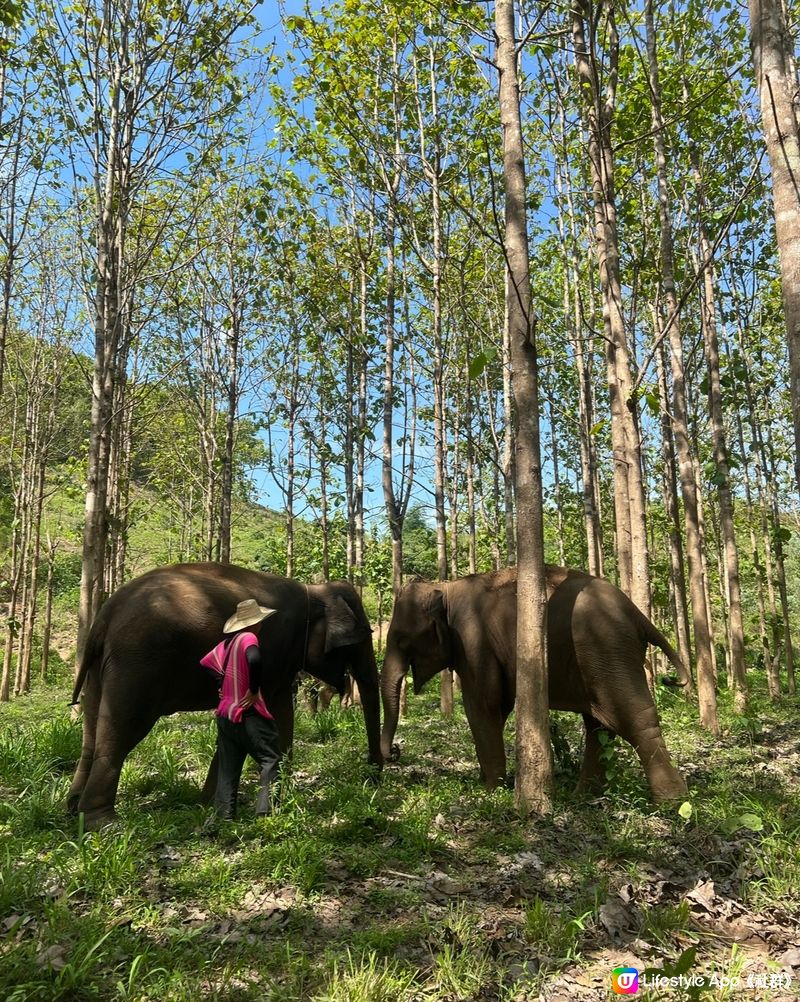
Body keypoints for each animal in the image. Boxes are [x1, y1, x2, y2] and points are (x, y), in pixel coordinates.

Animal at [68, 565, 382, 829]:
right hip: (137, 663)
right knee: (121, 731)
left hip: (103, 666)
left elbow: (281, 716)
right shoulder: (276, 648)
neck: (314, 590)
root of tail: (105, 614)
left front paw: (210, 803)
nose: (374, 777)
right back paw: (104, 824)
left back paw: (72, 810)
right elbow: (272, 713)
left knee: (91, 729)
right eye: (361, 636)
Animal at [380, 569, 689, 801]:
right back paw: (584, 796)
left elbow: (482, 705)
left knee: (635, 718)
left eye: (401, 640)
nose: (394, 753)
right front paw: (488, 780)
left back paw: (672, 802)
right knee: (599, 725)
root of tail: (639, 616)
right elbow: (498, 708)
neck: (445, 586)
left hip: (607, 648)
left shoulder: (474, 642)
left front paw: (490, 791)